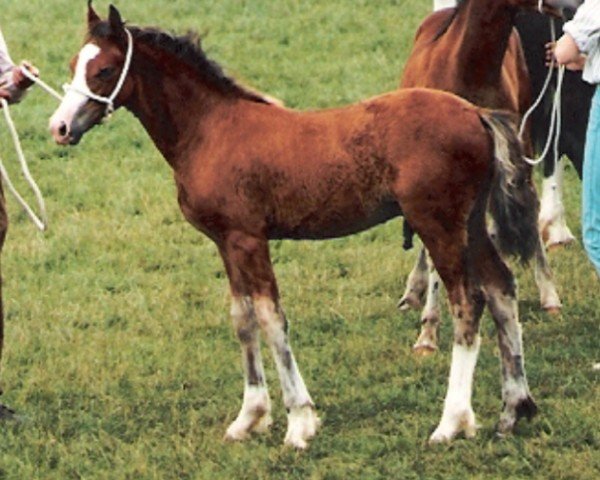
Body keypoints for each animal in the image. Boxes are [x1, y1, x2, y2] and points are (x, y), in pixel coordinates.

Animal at [50, 2, 540, 446]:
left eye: (105, 69)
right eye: (74, 64)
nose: (59, 127)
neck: (210, 130)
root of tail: (476, 114)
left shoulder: (249, 239)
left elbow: (271, 319)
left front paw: (299, 423)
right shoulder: (226, 243)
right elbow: (242, 319)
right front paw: (249, 418)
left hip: (439, 226)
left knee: (468, 301)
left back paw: (452, 422)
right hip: (470, 225)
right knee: (501, 289)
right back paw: (514, 409)